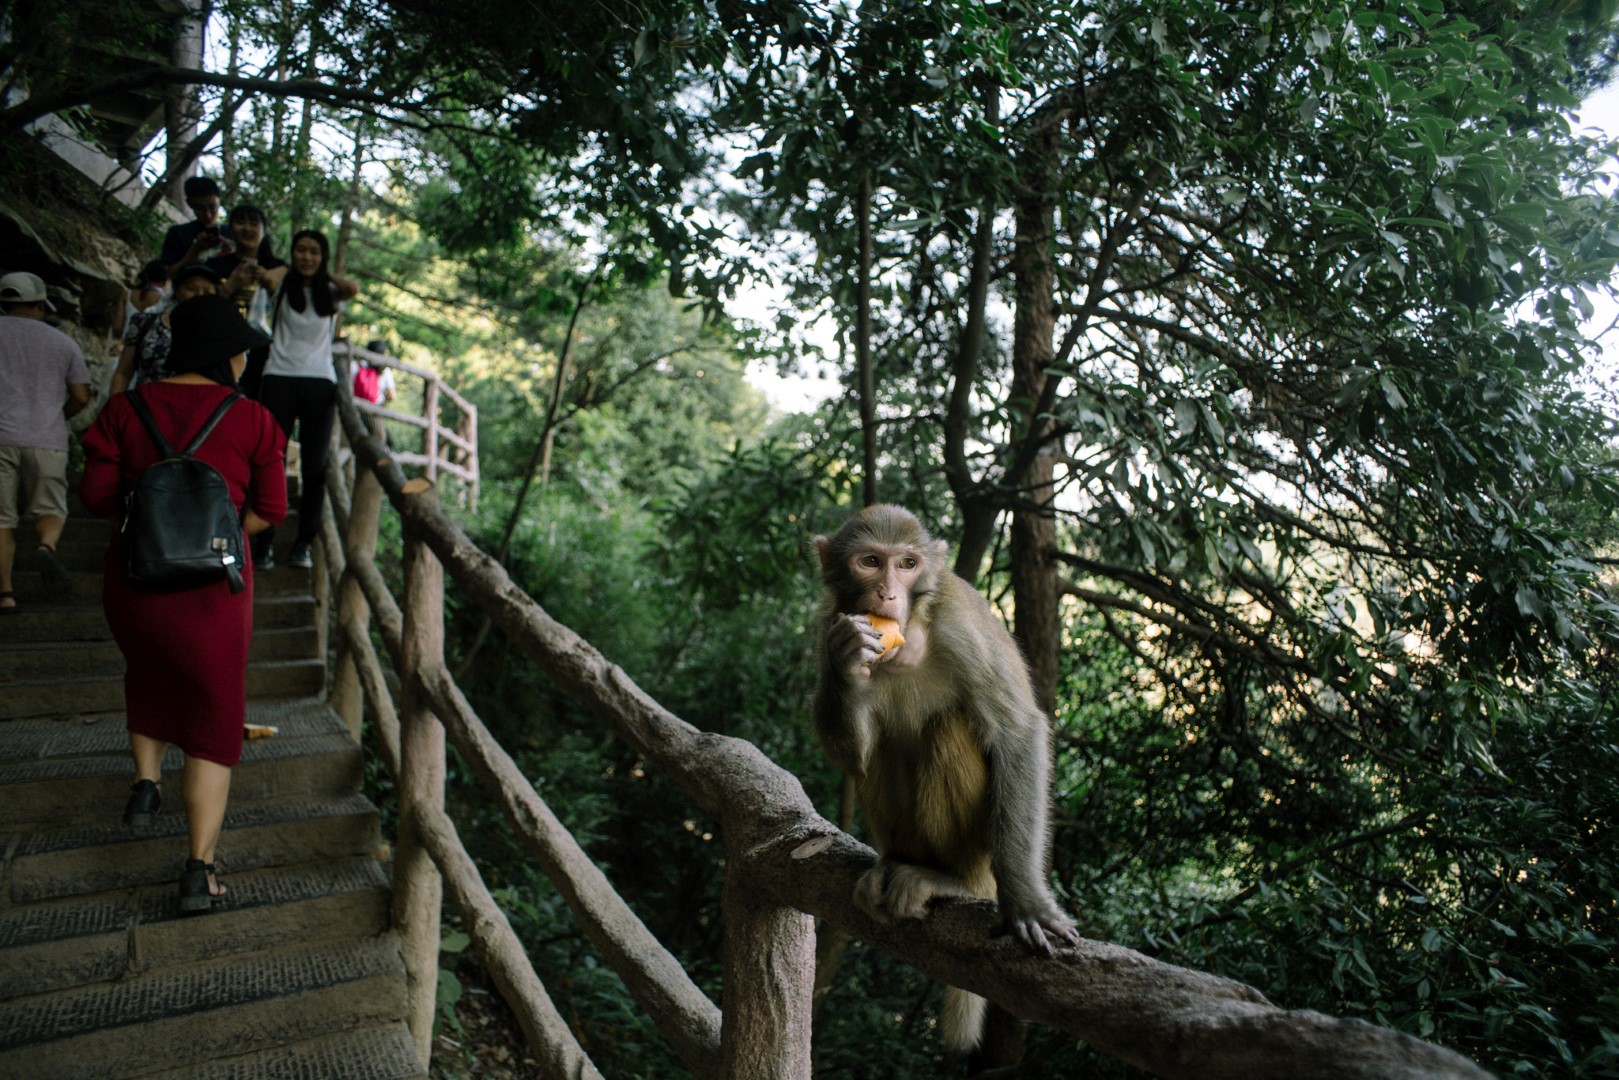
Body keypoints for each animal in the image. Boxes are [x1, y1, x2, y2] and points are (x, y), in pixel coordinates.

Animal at [809, 501, 1075, 1049]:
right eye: (870, 561)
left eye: (907, 564)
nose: (887, 593)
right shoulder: (828, 620)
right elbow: (855, 756)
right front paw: (847, 663)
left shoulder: (959, 620)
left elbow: (1017, 730)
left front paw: (1026, 902)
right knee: (885, 749)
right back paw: (895, 864)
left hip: (980, 852)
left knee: (949, 727)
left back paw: (952, 881)